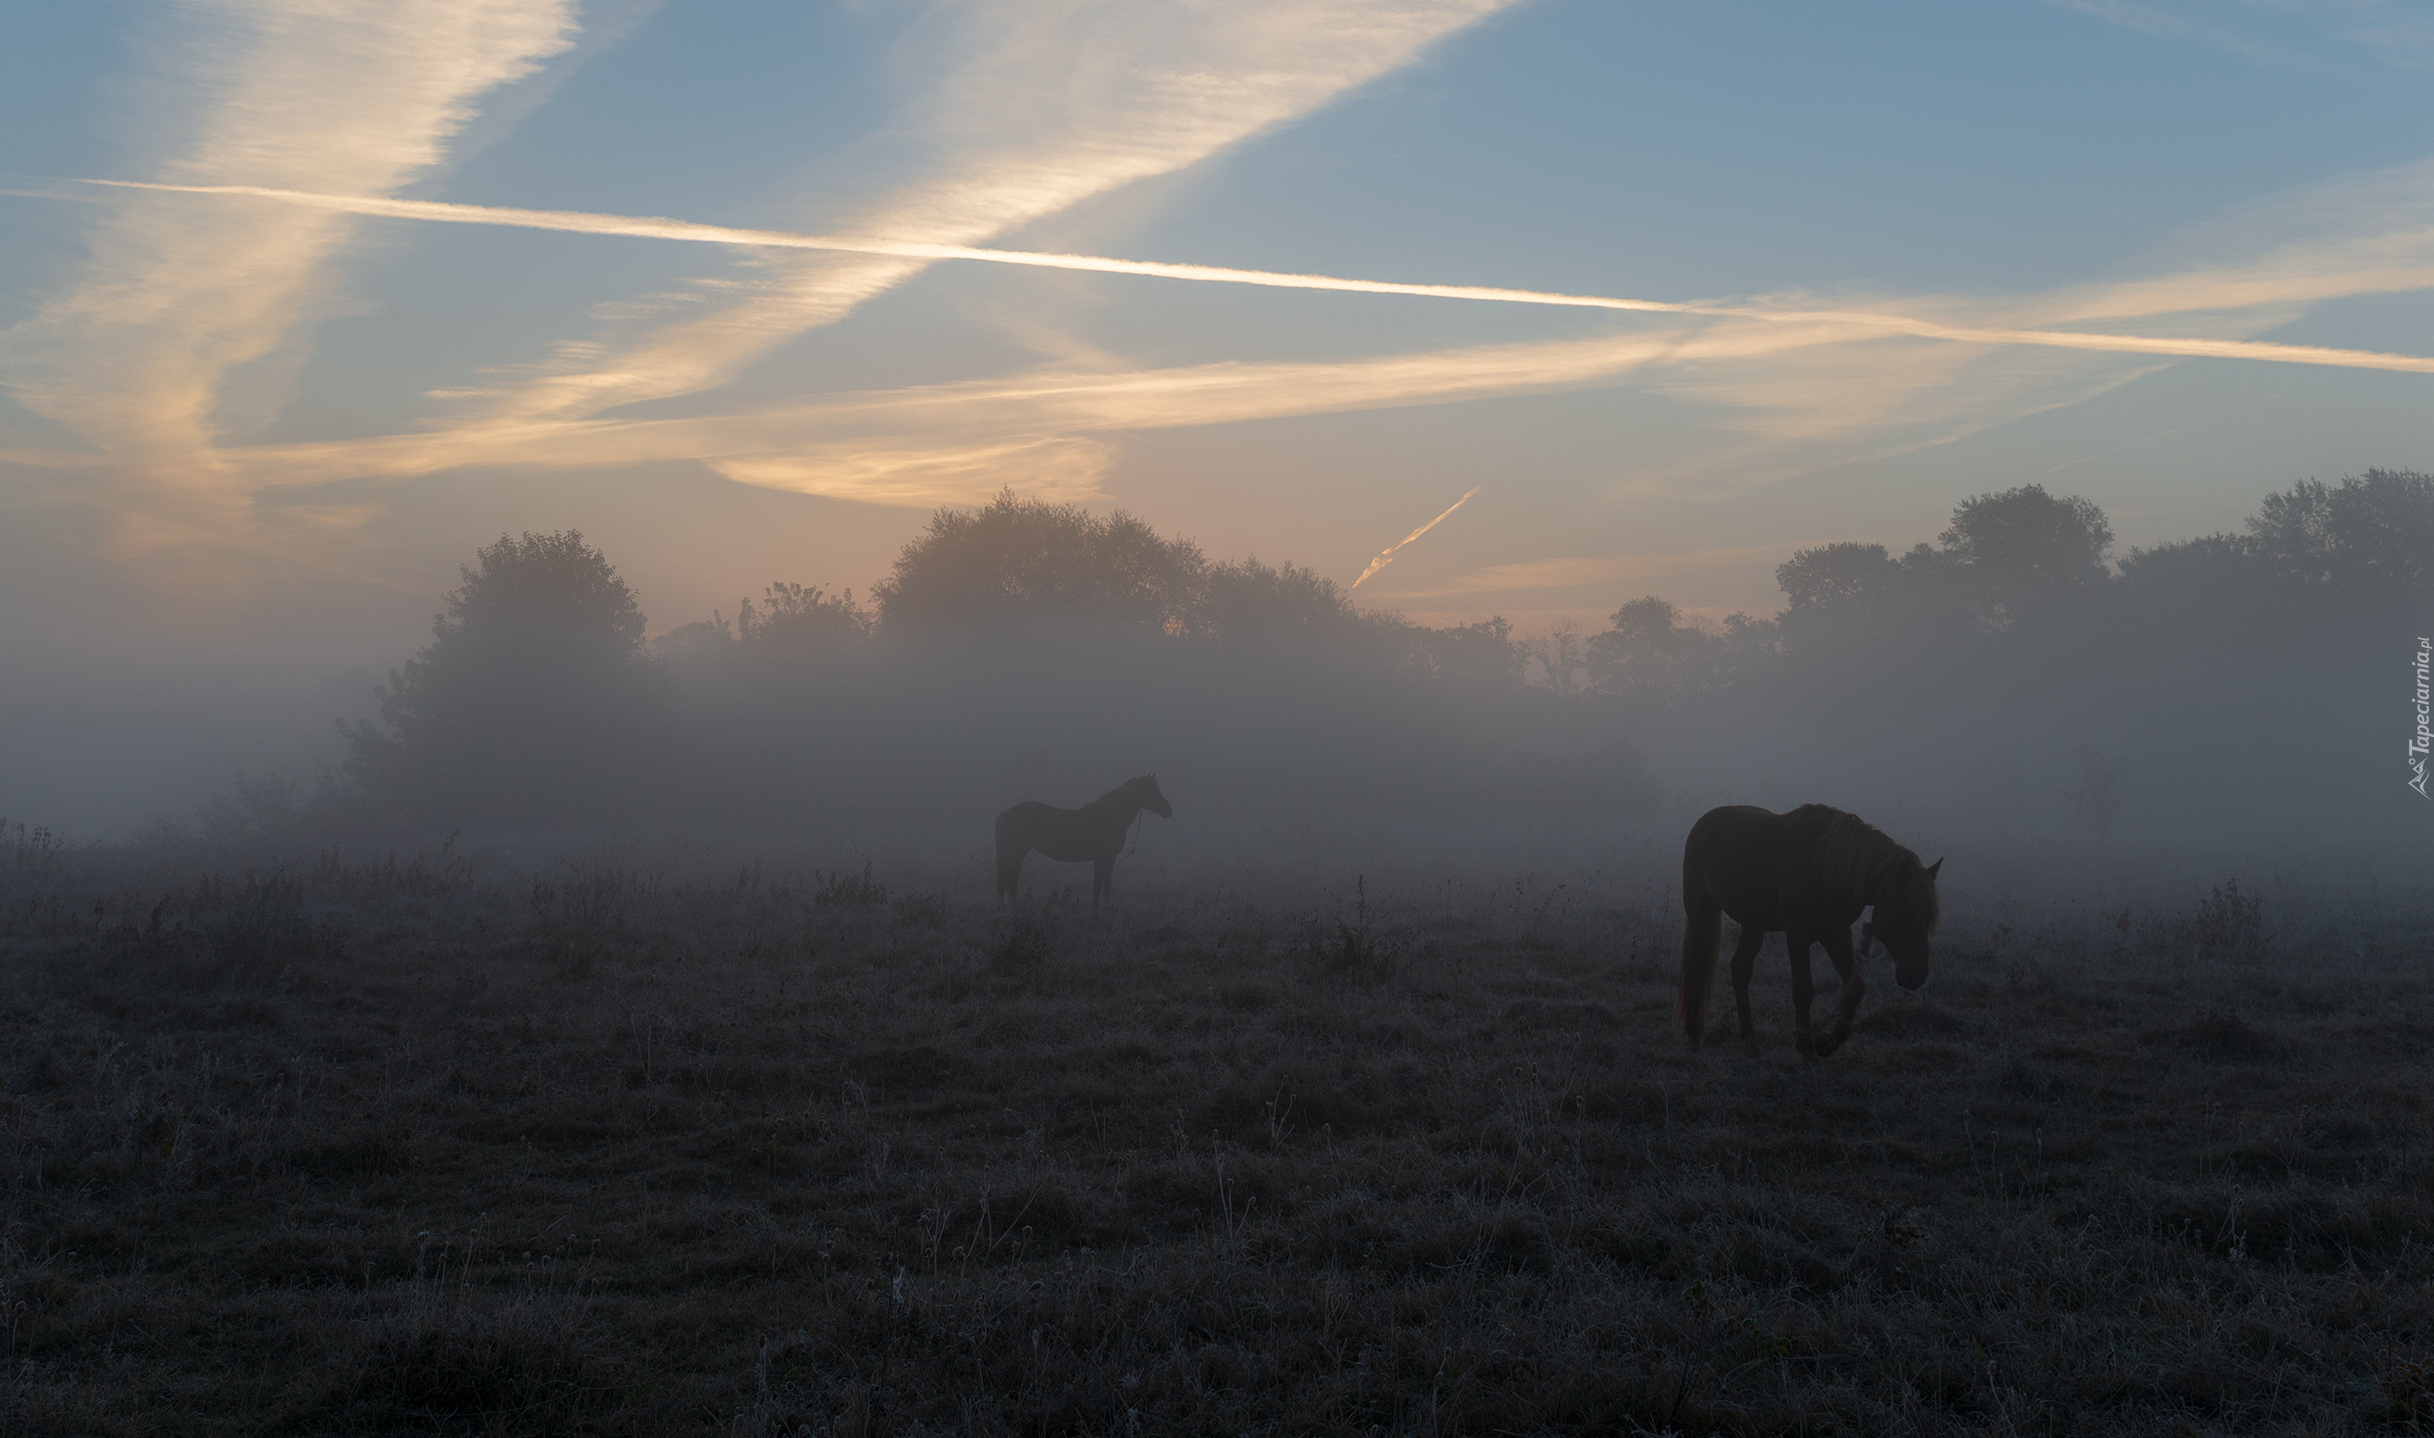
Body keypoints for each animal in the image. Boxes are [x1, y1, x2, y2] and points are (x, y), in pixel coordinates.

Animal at [993, 768, 1173, 905]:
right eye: (1152, 791)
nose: (1168, 811)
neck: (1109, 818)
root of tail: (1006, 813)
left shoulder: (1100, 859)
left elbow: (1098, 884)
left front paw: (1096, 907)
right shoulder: (1106, 857)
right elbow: (1105, 884)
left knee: (1009, 880)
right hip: (1017, 852)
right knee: (1008, 879)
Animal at [1674, 802, 1937, 1065]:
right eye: (1904, 912)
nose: (1917, 975)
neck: (1825, 866)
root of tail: (1702, 825)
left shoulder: (1836, 931)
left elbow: (1855, 988)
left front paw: (1827, 1041)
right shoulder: (1797, 933)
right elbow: (1803, 991)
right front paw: (1806, 1046)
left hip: (1754, 924)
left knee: (1740, 970)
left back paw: (1750, 1040)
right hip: (1701, 912)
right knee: (1697, 966)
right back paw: (1694, 1034)